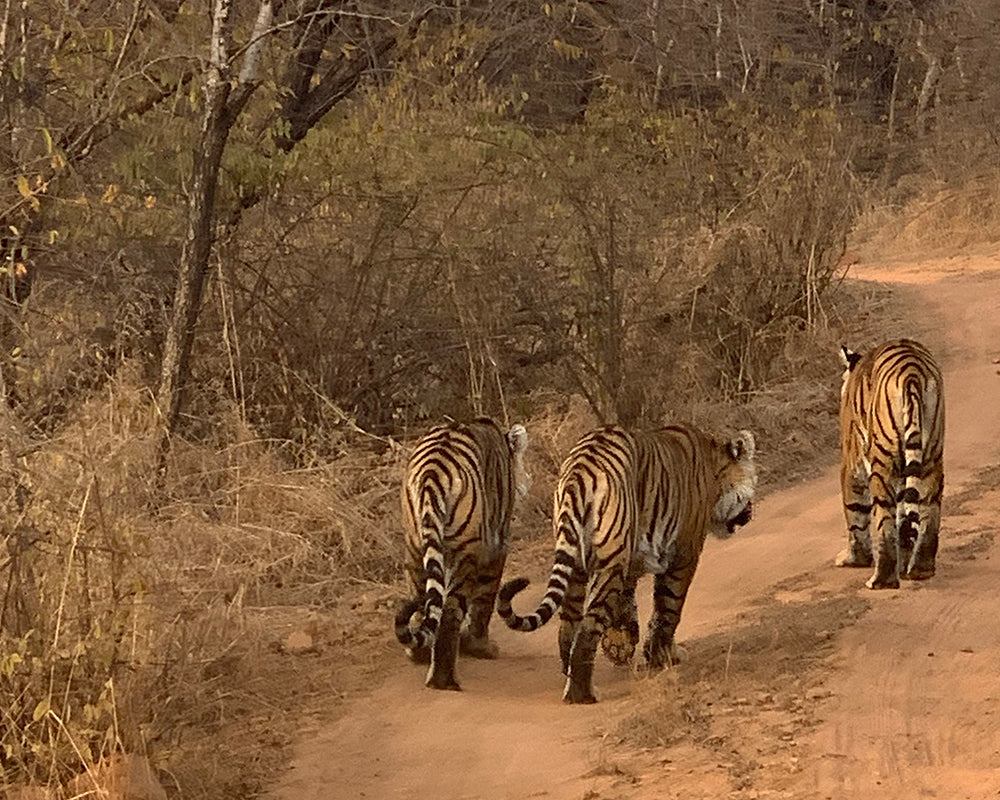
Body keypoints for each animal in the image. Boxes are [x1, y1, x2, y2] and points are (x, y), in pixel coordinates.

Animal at [392, 418, 536, 688]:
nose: (528, 479)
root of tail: (432, 471)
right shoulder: (495, 545)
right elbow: (484, 601)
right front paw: (480, 647)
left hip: (414, 548)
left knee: (423, 603)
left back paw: (419, 655)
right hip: (465, 552)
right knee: (450, 611)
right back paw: (443, 680)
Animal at [496, 422, 752, 704]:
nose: (750, 513)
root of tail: (580, 468)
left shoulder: (631, 557)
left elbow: (629, 604)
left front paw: (623, 645)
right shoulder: (684, 554)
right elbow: (669, 608)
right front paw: (663, 656)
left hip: (577, 564)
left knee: (567, 627)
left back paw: (569, 675)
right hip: (610, 563)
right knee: (587, 628)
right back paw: (582, 694)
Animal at [836, 336, 944, 588]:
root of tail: (912, 370)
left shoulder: (852, 466)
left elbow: (855, 515)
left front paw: (854, 559)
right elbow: (905, 515)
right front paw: (904, 560)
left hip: (881, 464)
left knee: (884, 518)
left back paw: (880, 580)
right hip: (931, 456)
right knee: (930, 509)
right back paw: (921, 569)